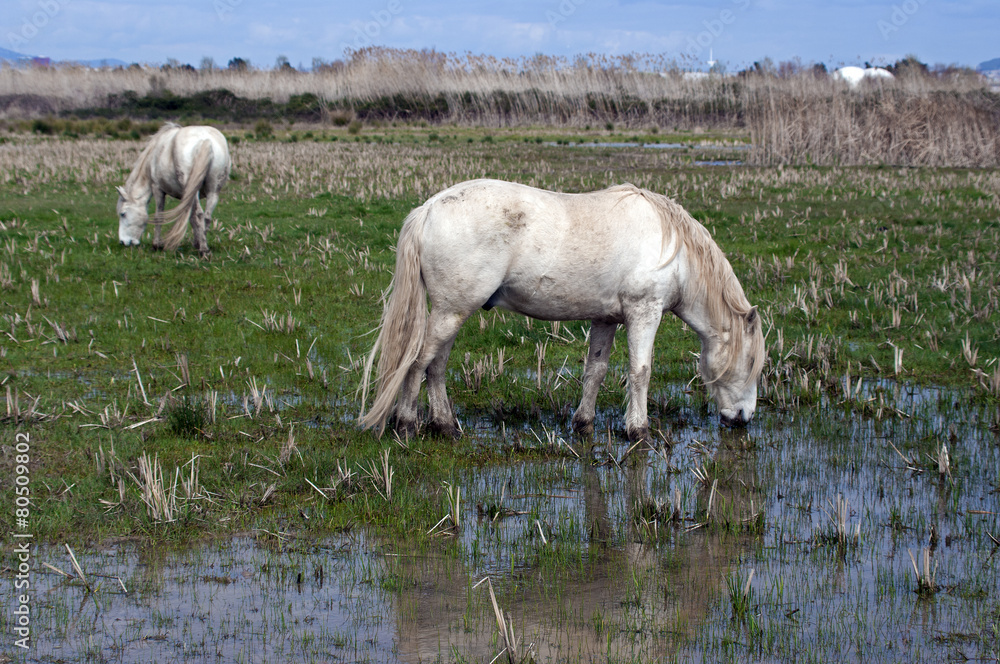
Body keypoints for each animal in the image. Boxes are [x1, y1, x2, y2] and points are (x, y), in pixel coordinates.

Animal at [116, 123, 231, 254]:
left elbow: (159, 216)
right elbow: (192, 219)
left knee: (199, 214)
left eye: (123, 214)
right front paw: (196, 243)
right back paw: (204, 246)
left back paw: (203, 249)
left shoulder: (158, 189)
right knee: (206, 216)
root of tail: (205, 140)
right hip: (213, 191)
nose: (123, 242)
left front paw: (156, 245)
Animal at [359, 178, 765, 440]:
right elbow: (640, 372)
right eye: (750, 363)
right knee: (418, 362)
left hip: (452, 312)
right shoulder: (643, 313)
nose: (744, 418)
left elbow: (595, 371)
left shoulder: (606, 319)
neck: (675, 252)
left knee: (436, 366)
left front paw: (583, 422)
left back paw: (444, 425)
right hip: (451, 311)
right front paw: (638, 430)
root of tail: (428, 209)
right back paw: (406, 424)